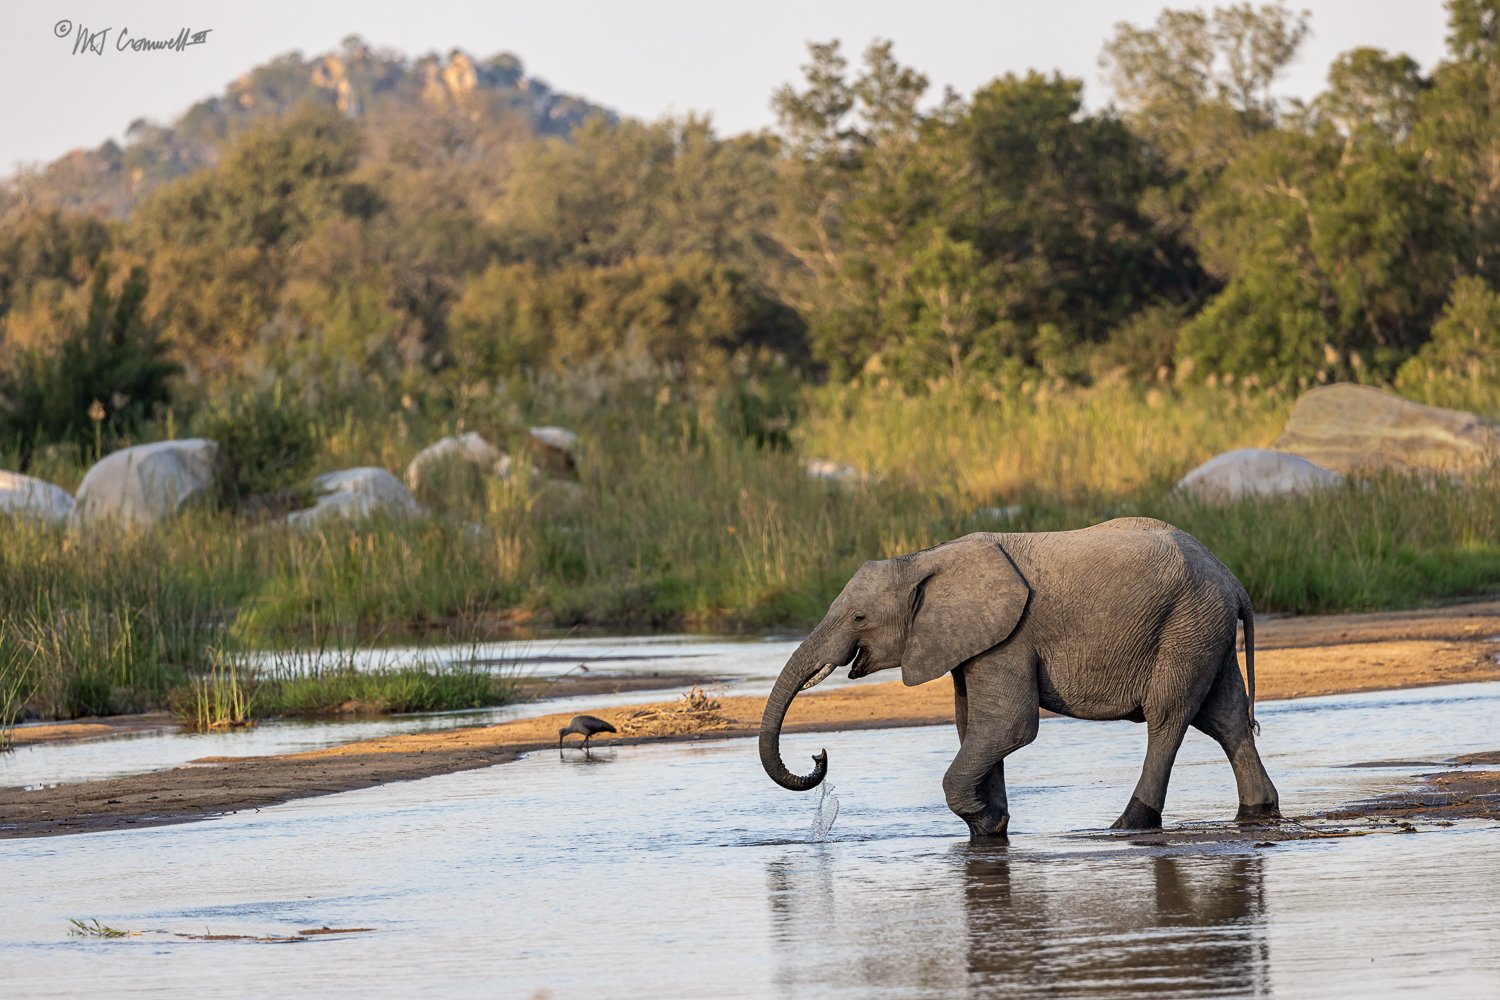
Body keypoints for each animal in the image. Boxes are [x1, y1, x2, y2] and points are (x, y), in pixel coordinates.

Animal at [759, 517, 1280, 836]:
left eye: (859, 617)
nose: (820, 754)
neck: (922, 560)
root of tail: (1232, 579)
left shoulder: (1008, 639)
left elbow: (1007, 726)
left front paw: (986, 822)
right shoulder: (971, 643)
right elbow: (974, 728)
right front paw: (993, 826)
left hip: (1185, 626)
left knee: (1168, 718)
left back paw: (1126, 827)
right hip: (1204, 629)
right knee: (1225, 718)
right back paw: (1259, 811)